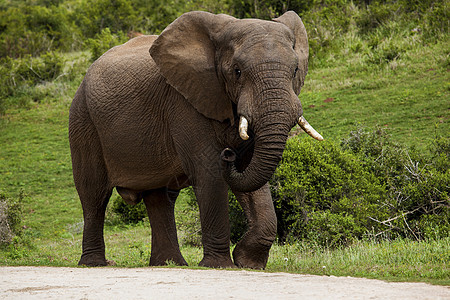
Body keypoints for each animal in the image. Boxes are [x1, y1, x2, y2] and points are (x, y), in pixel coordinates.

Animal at [68, 11, 322, 270]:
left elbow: (251, 175)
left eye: (295, 70)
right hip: (83, 120)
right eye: (237, 71)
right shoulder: (184, 103)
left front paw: (248, 263)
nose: (228, 153)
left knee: (161, 197)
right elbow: (210, 173)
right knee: (94, 194)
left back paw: (169, 263)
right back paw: (95, 264)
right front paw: (220, 266)